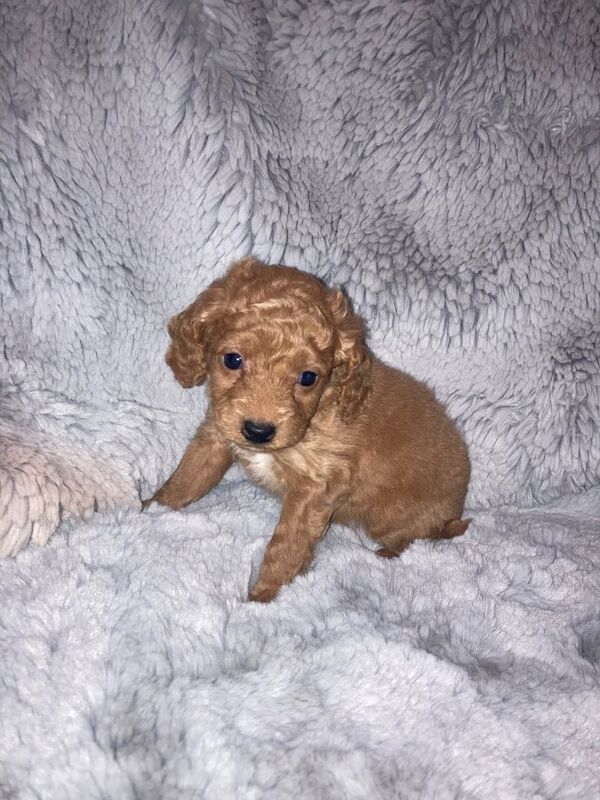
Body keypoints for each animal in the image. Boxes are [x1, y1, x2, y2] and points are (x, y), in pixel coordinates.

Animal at [143, 260, 472, 604]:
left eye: (308, 377)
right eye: (232, 360)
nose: (258, 431)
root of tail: (456, 508)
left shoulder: (313, 489)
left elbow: (286, 546)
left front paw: (263, 597)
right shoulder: (215, 436)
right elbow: (185, 480)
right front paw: (149, 510)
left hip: (390, 518)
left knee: (418, 538)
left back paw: (388, 554)